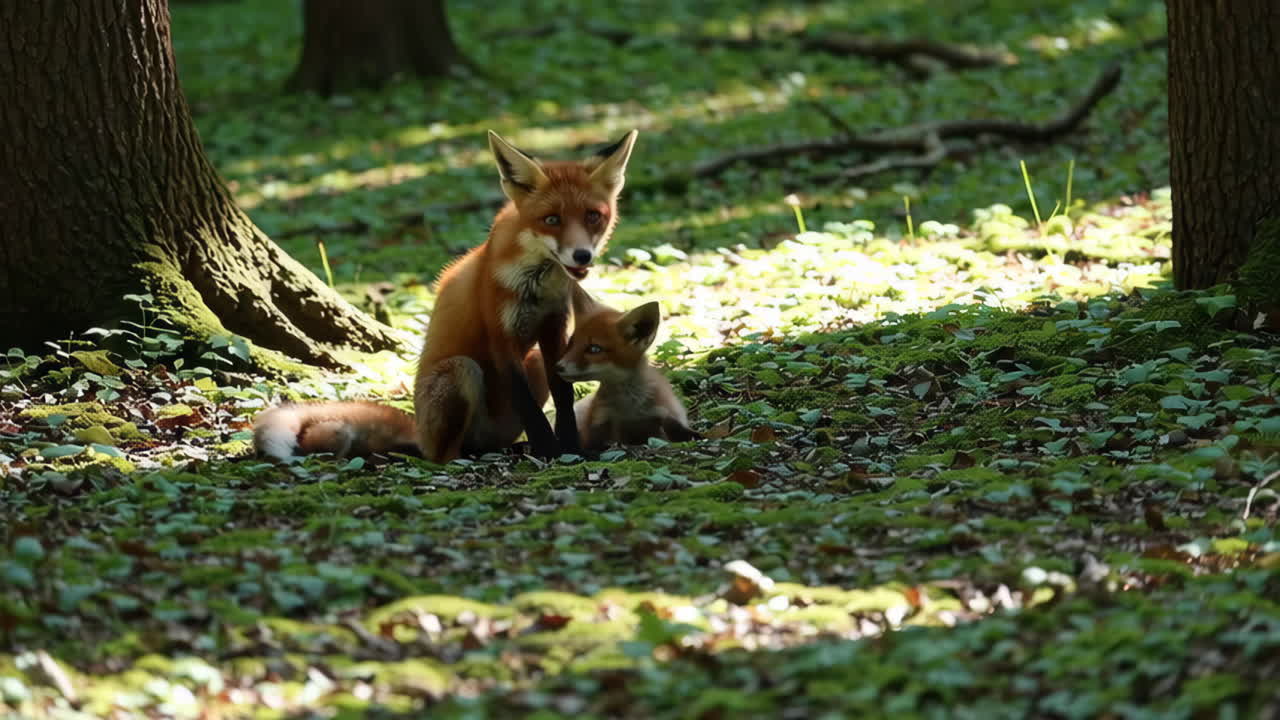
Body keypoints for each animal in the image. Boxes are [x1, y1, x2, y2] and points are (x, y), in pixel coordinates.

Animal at [253, 128, 639, 463]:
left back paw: (510, 448)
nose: (582, 256)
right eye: (552, 219)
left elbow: (563, 394)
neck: (538, 282)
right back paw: (470, 457)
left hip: (527, 368)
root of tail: (419, 431)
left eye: (593, 216)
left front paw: (570, 447)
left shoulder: (554, 326)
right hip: (459, 371)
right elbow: (529, 405)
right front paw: (549, 451)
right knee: (443, 455)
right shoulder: (500, 333)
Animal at [554, 286, 699, 451]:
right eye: (570, 344)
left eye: (594, 349)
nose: (557, 367)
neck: (629, 408)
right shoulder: (599, 423)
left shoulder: (663, 416)